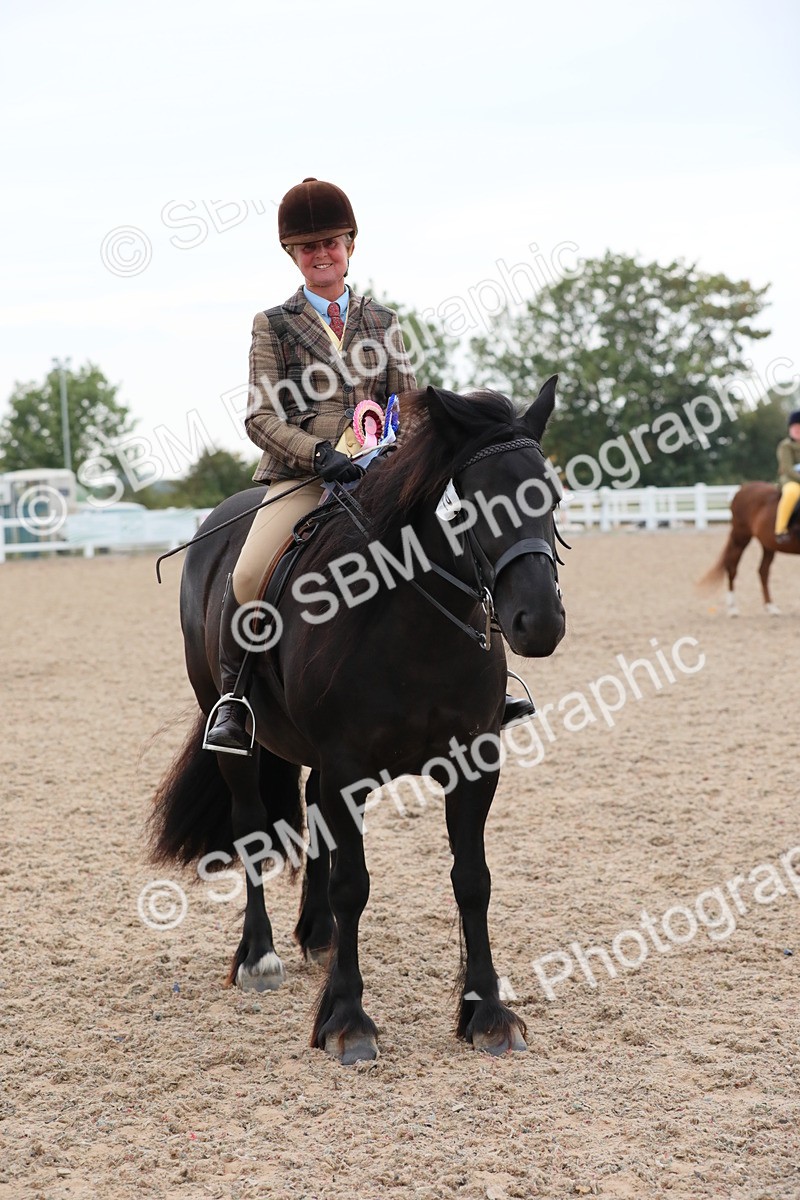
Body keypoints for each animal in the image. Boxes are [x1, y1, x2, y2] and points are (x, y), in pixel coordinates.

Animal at [149, 380, 566, 1063]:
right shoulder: (348, 766)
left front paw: (488, 1013)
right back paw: (259, 957)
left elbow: (472, 880)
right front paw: (347, 1019)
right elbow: (354, 884)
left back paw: (317, 935)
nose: (540, 622)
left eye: (550, 496)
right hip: (238, 741)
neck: (416, 626)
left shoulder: (475, 761)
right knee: (250, 827)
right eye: (473, 503)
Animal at [700, 481, 800, 615]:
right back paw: (732, 609)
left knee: (763, 571)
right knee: (732, 567)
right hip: (740, 538)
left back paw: (771, 607)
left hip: (767, 544)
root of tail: (743, 487)